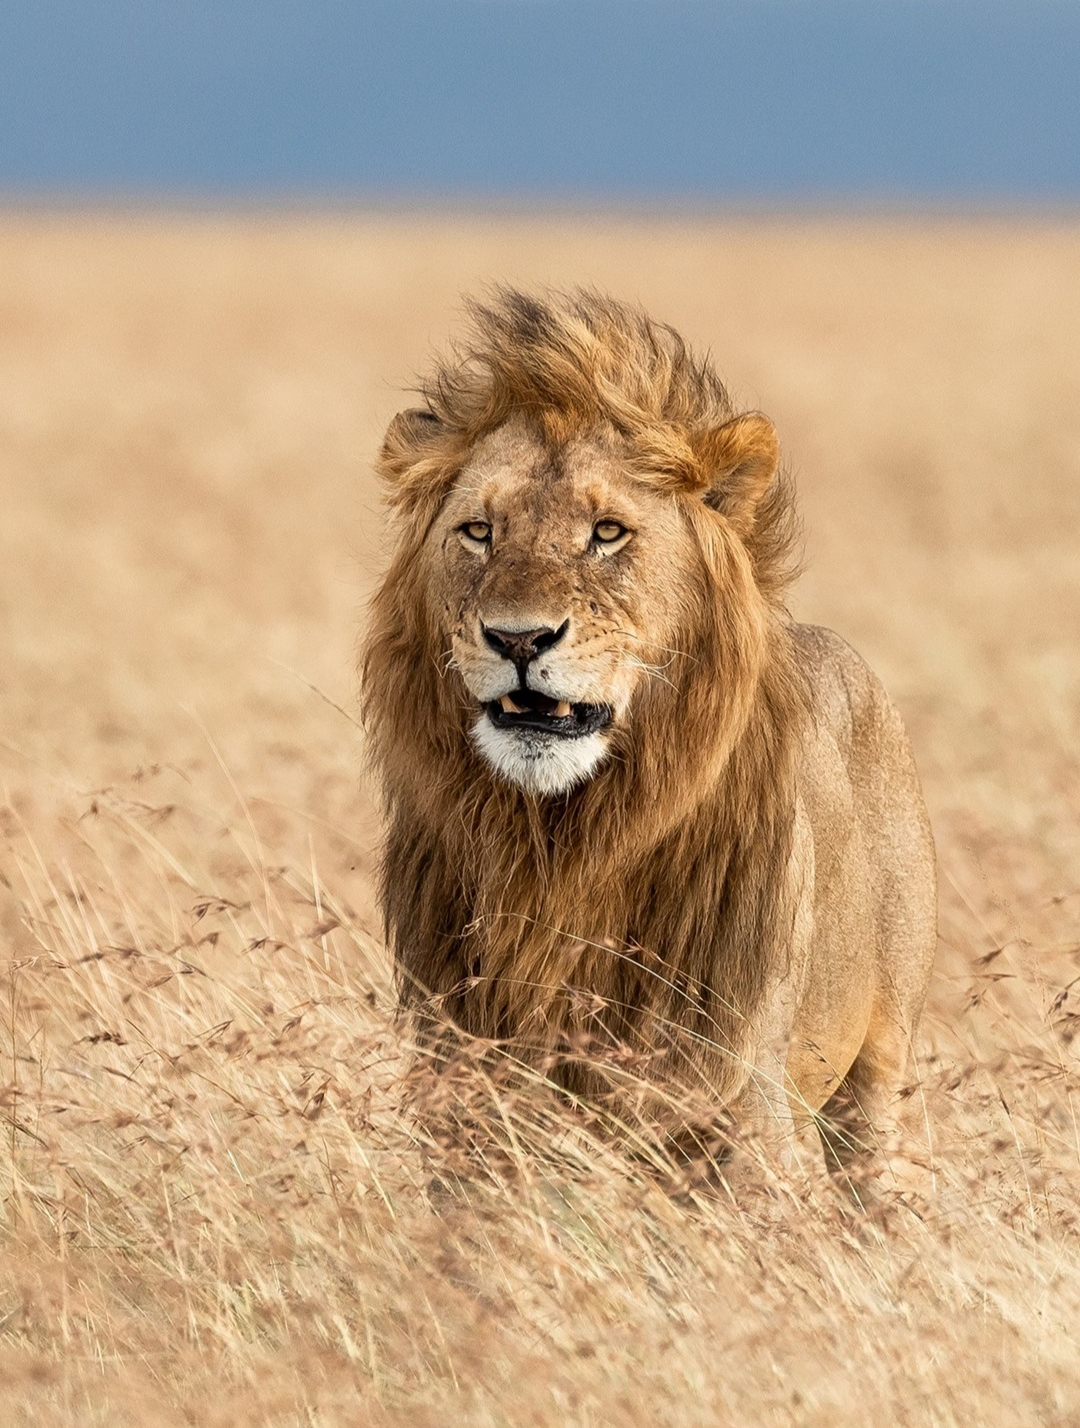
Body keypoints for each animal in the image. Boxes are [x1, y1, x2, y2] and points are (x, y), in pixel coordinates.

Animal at [362, 287, 937, 1182]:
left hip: (882, 1071)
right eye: (479, 531)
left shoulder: (739, 1100)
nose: (519, 639)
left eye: (607, 532)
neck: (559, 846)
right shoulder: (467, 1089)